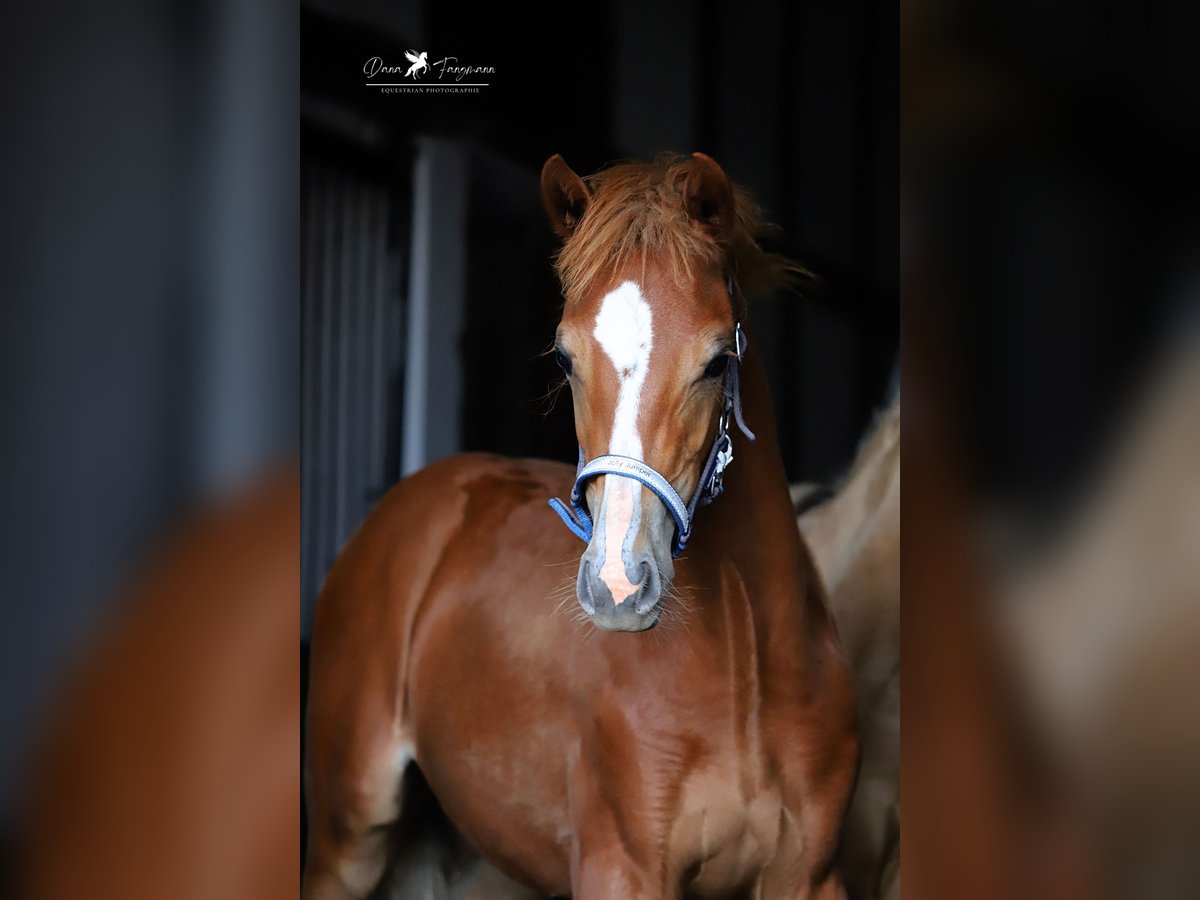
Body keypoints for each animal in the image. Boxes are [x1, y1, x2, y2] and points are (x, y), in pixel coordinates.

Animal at [304, 151, 859, 897]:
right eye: (565, 358)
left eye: (717, 360)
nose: (618, 586)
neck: (746, 681)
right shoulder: (620, 870)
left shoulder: (811, 877)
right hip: (347, 839)